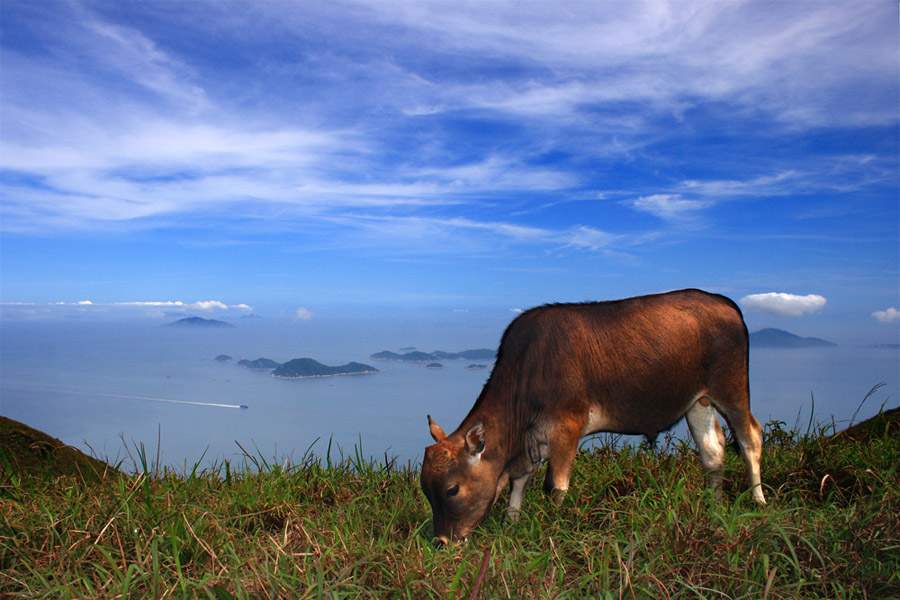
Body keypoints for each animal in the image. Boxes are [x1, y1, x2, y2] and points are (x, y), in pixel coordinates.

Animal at [422, 288, 768, 548]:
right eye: (426, 490)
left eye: (452, 490)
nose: (441, 541)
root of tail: (721, 300)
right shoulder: (532, 439)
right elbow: (519, 481)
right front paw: (511, 522)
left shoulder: (566, 427)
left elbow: (555, 486)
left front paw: (553, 529)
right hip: (698, 401)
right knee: (713, 451)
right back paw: (715, 505)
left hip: (731, 386)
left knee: (750, 436)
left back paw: (758, 501)